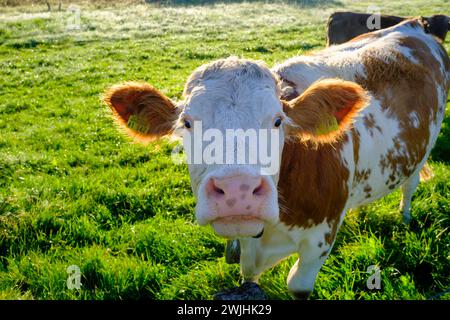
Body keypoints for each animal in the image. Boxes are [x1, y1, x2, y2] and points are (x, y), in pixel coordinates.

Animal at [103, 20, 450, 298]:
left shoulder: (318, 242)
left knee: (410, 186)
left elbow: (297, 285)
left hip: (423, 150)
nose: (238, 191)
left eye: (277, 121)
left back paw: (404, 217)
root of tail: (413, 25)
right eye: (186, 123)